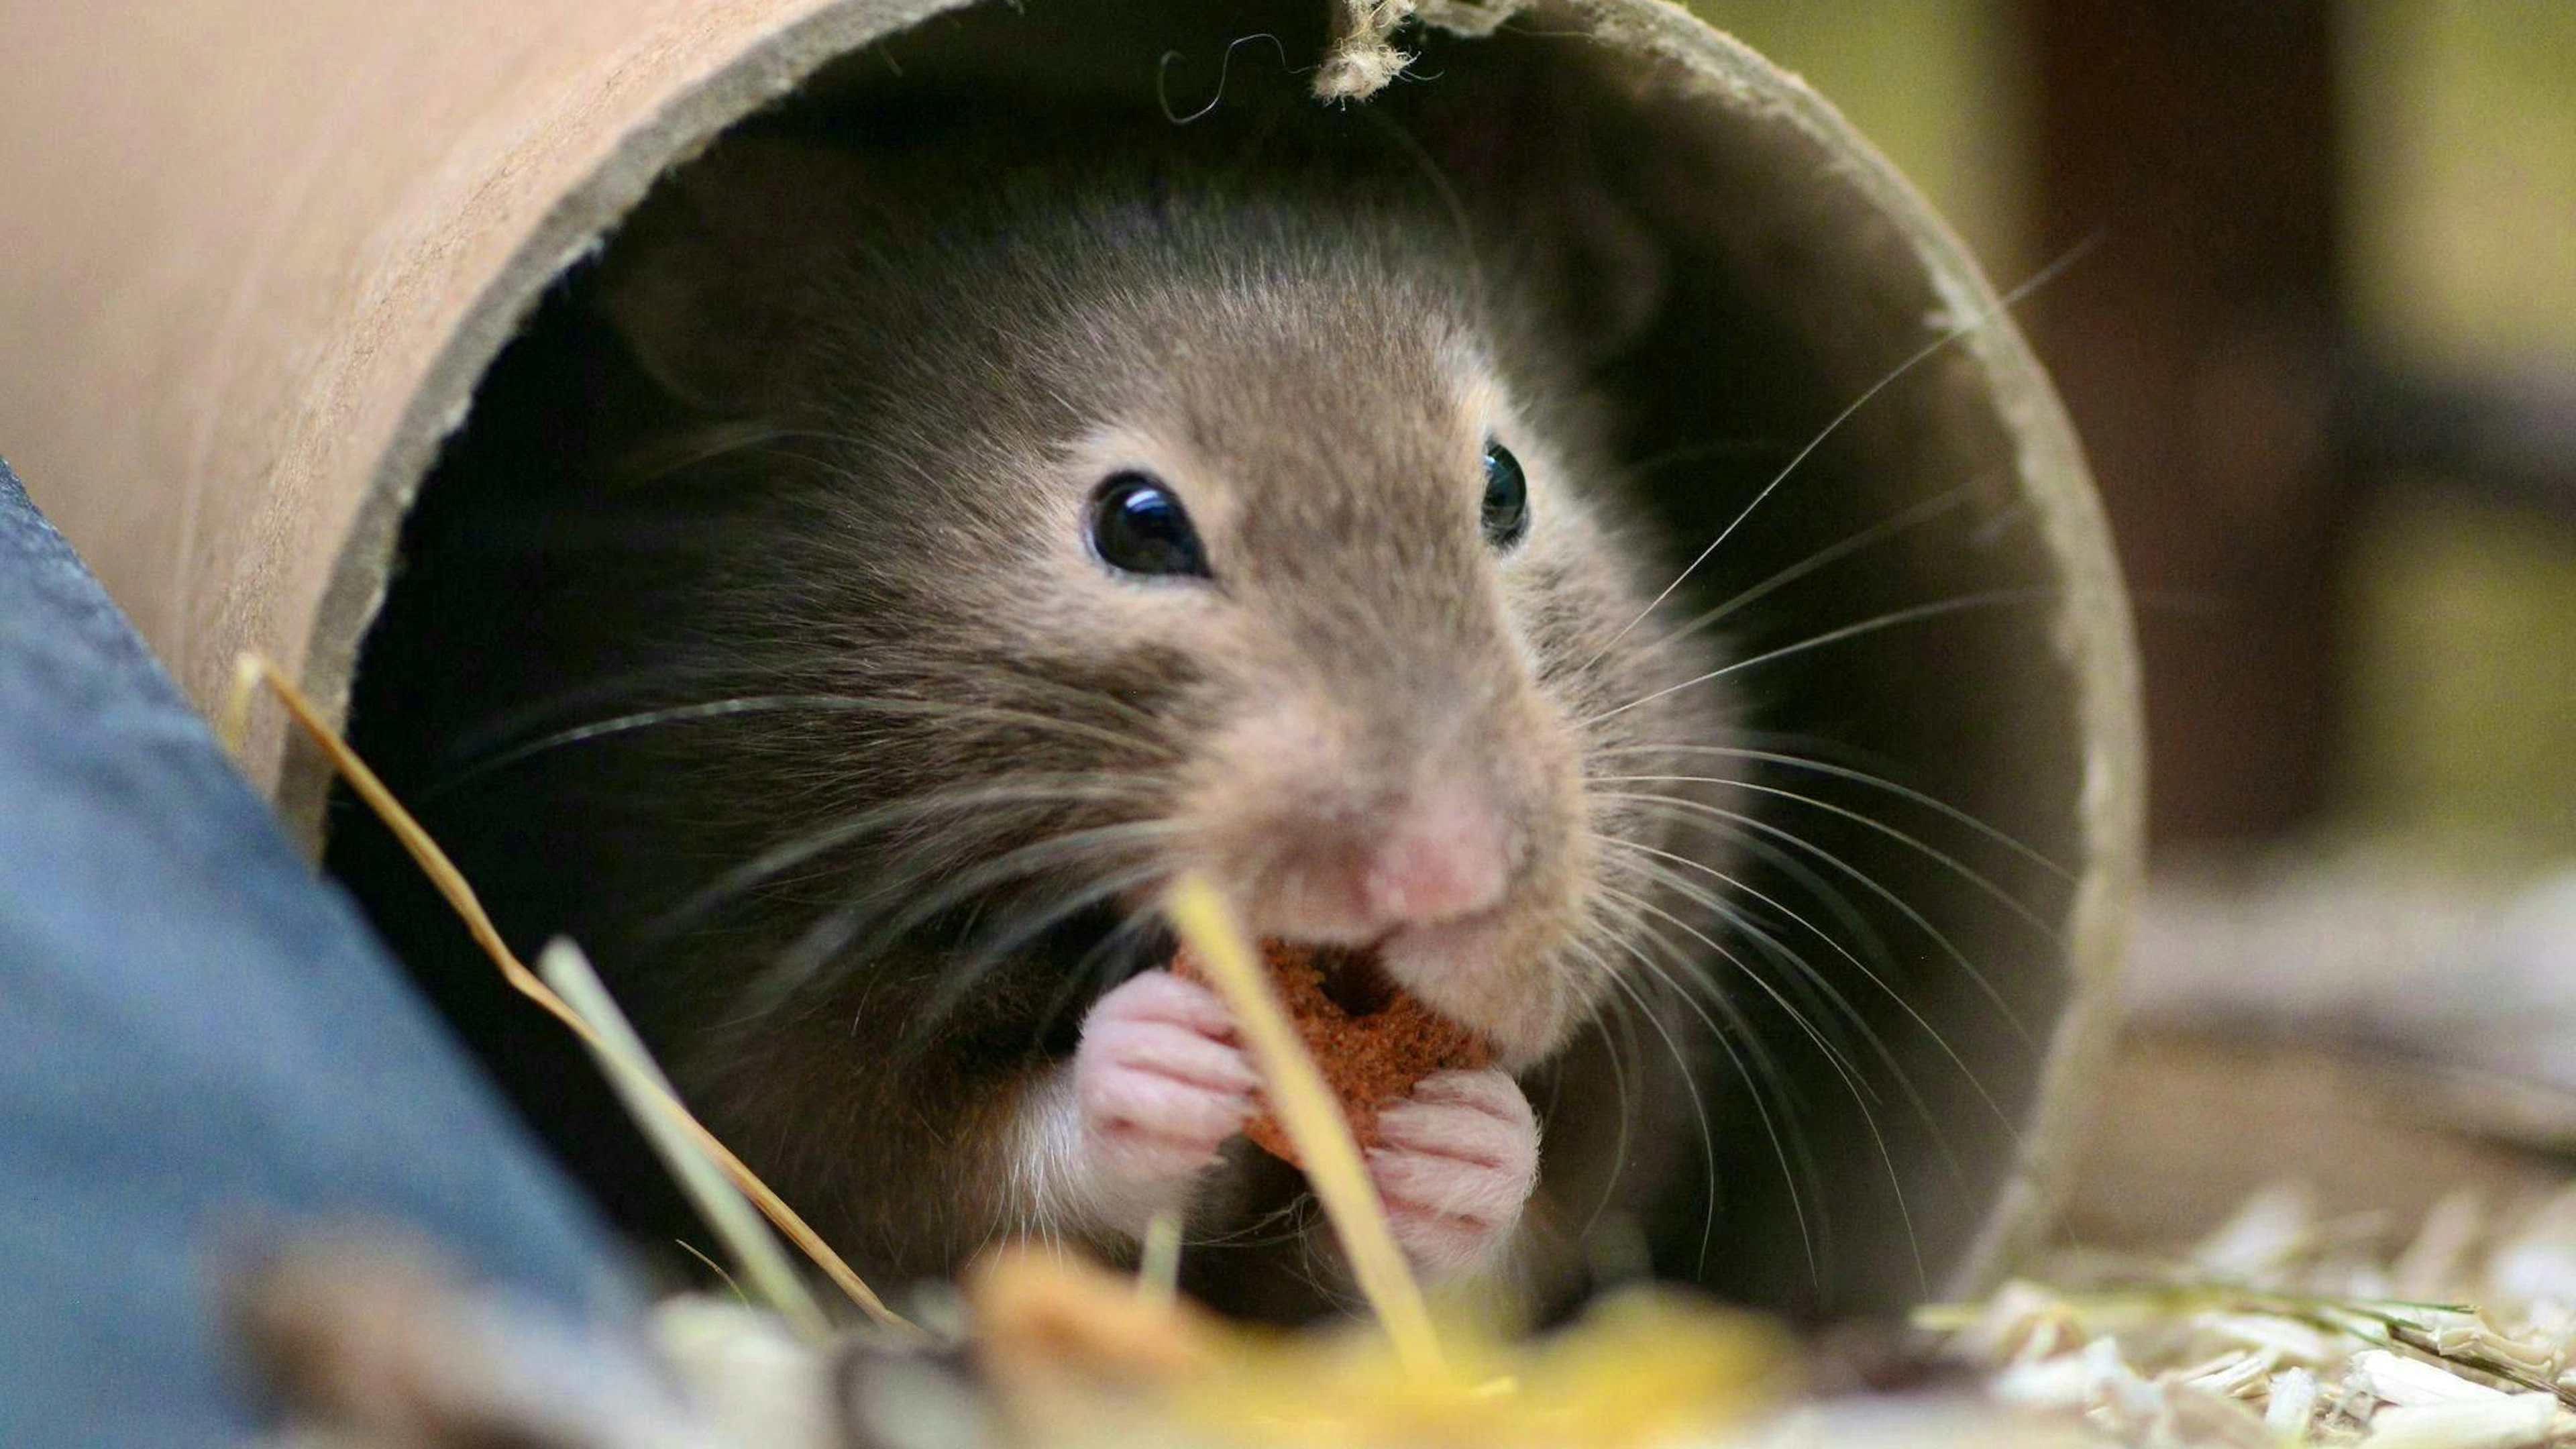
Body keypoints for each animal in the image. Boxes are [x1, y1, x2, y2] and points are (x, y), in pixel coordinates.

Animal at [339, 107, 1737, 1321]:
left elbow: (1511, 1238)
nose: (1442, 876)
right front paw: (1169, 1056)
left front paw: (1461, 1137)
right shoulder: (740, 1013)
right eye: (1138, 524)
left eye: (1505, 486)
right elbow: (971, 1175)